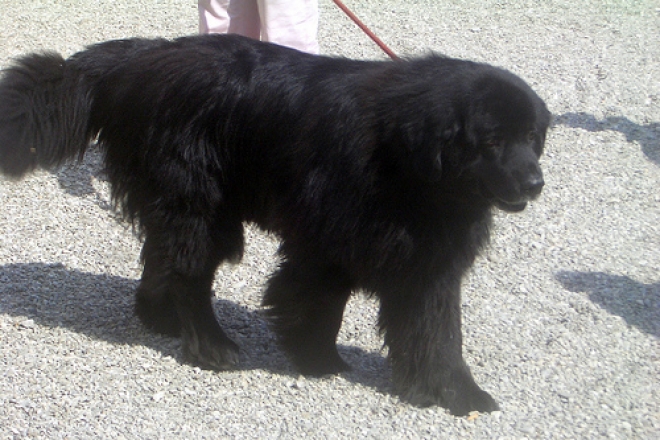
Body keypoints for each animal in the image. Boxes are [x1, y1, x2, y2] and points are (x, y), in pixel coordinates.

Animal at [0, 35, 548, 416]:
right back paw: (210, 345)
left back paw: (160, 318)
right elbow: (319, 304)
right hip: (201, 206)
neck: (405, 161)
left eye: (532, 137)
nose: (536, 182)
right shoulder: (326, 245)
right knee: (189, 271)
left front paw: (453, 392)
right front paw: (318, 360)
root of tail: (138, 59)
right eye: (491, 140)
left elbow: (436, 332)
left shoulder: (426, 264)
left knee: (163, 258)